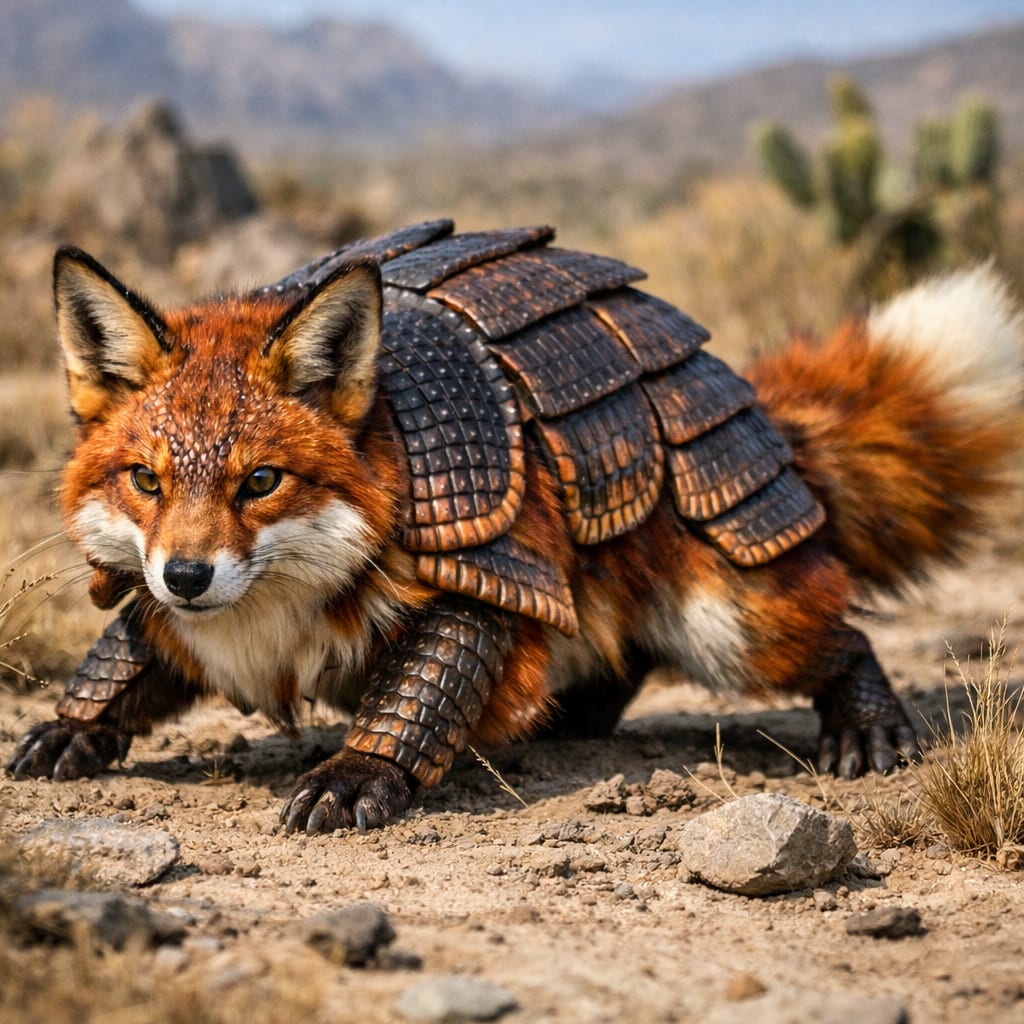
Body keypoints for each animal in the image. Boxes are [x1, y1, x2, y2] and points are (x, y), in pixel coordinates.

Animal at [7, 220, 1022, 835]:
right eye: (146, 479)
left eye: (261, 481)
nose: (187, 576)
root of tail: (742, 396)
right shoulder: (158, 599)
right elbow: (120, 657)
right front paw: (68, 731)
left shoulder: (490, 566)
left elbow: (415, 695)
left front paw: (355, 773)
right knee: (618, 661)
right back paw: (568, 724)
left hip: (730, 615)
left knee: (839, 634)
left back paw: (868, 729)